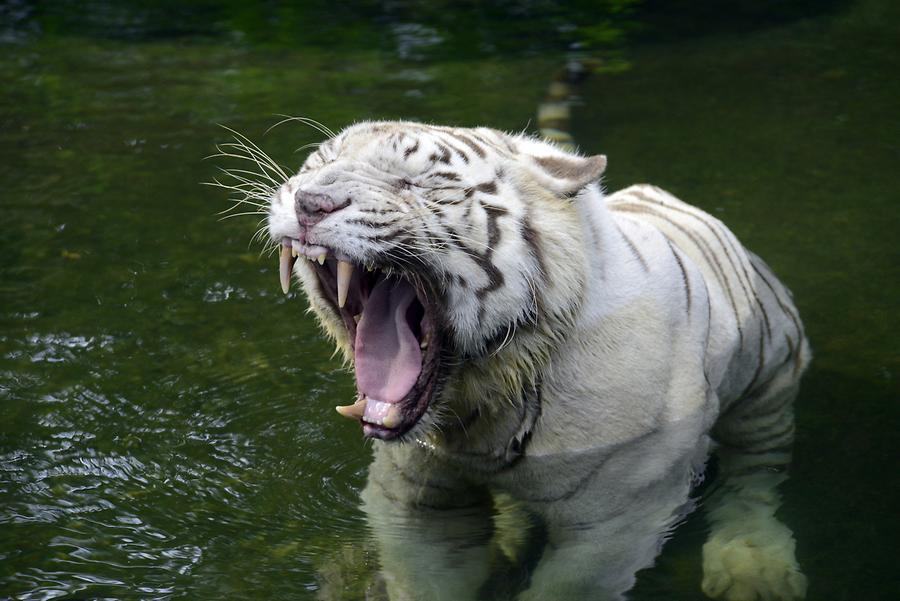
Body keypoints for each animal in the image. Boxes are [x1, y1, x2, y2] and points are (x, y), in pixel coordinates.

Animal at [260, 119, 808, 596]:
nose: (310, 202)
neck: (486, 395)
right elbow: (427, 575)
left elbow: (566, 587)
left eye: (414, 182)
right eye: (318, 164)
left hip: (768, 384)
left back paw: (755, 573)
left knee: (755, 474)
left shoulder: (619, 515)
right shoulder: (416, 498)